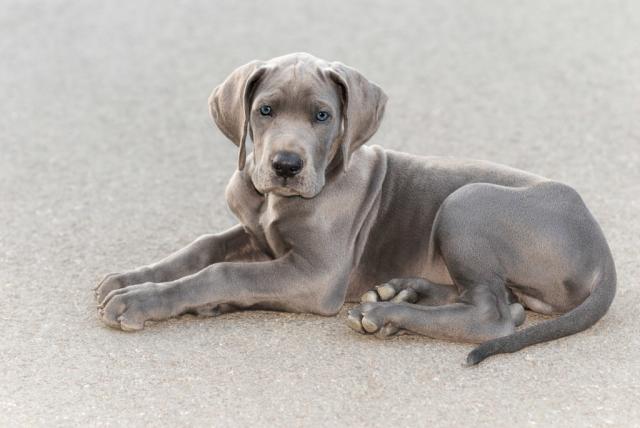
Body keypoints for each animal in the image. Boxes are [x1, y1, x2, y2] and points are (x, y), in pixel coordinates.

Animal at [95, 51, 616, 364]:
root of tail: (602, 249)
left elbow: (222, 272)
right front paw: (129, 279)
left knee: (494, 314)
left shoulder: (316, 275)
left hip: (466, 202)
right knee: (493, 299)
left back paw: (386, 316)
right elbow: (202, 249)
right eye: (265, 110)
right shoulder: (257, 236)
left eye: (322, 115)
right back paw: (400, 292)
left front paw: (140, 301)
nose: (286, 166)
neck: (274, 202)